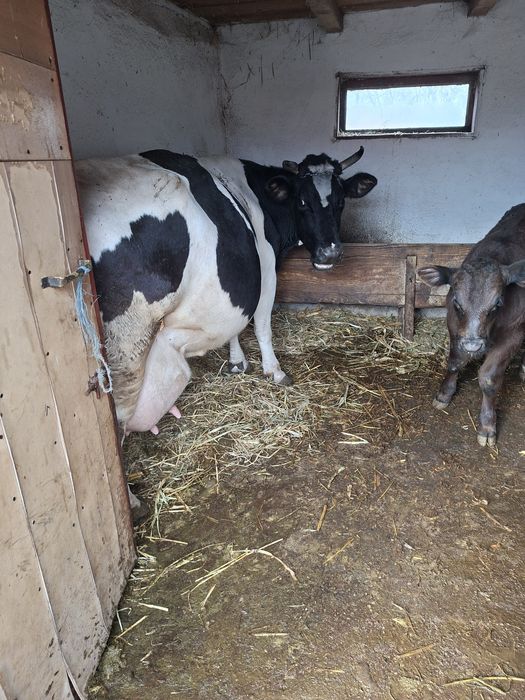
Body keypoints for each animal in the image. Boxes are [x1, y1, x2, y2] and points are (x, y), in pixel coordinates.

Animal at [75, 148, 377, 439]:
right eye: (302, 202)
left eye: (341, 201)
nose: (330, 253)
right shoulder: (266, 267)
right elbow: (261, 325)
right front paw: (274, 370)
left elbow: (236, 326)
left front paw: (237, 361)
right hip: (125, 353)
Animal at [418, 204, 525, 447]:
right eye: (457, 302)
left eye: (498, 303)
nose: (473, 346)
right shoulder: (455, 325)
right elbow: (454, 362)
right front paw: (444, 394)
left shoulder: (513, 333)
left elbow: (488, 378)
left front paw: (487, 426)